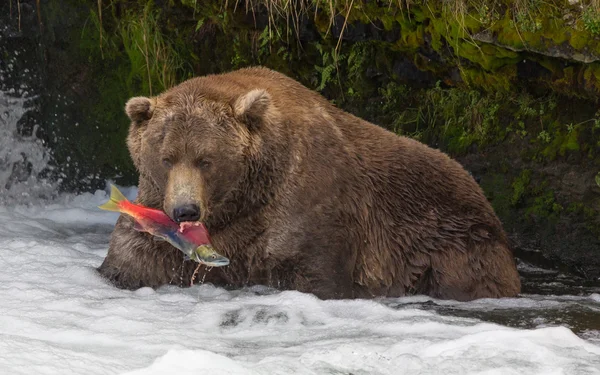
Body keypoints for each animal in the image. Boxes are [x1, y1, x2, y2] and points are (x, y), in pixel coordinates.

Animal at [97, 66, 520, 302]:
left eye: (206, 159)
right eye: (166, 157)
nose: (185, 210)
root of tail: (484, 198)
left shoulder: (309, 204)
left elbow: (315, 273)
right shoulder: (157, 211)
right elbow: (135, 260)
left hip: (452, 242)